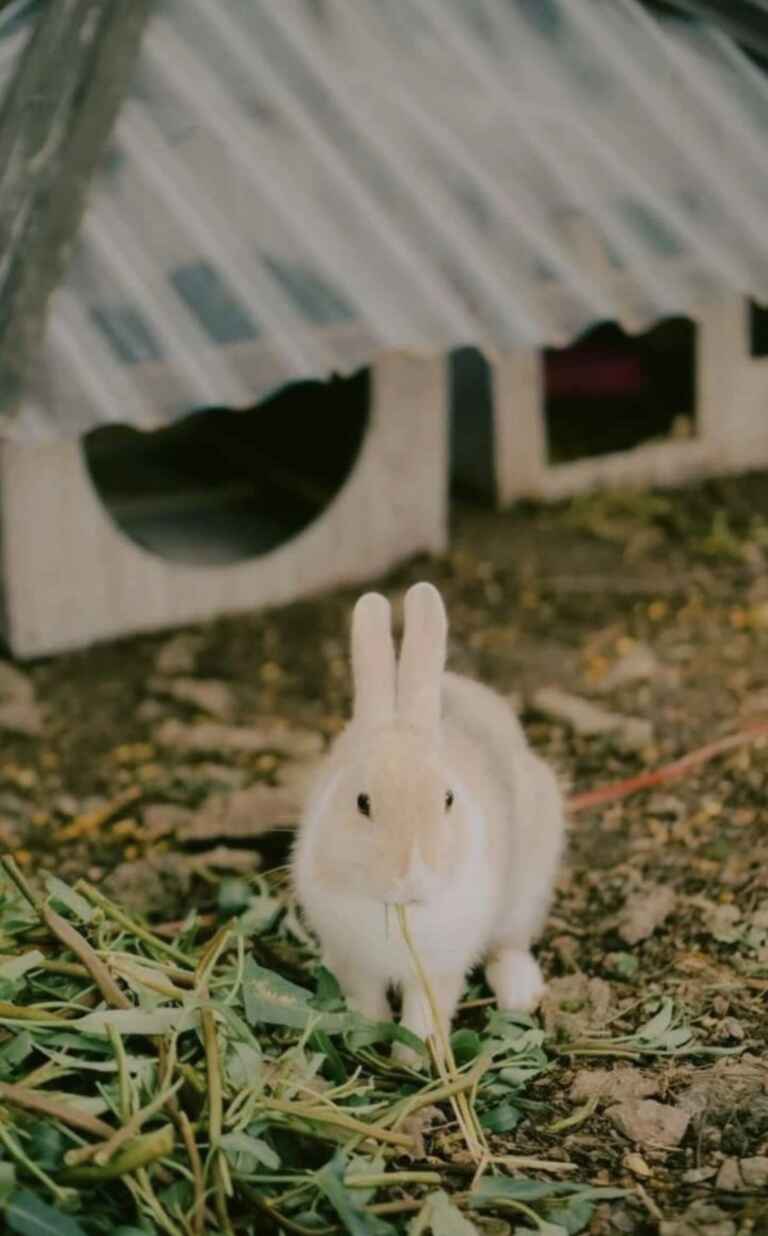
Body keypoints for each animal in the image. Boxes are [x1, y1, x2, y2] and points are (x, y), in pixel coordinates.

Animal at [291, 581, 565, 1063]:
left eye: (448, 799)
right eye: (362, 802)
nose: (411, 879)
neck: (396, 910)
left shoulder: (441, 966)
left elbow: (426, 1010)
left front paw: (413, 1058)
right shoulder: (357, 960)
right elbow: (367, 997)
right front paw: (369, 1033)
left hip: (527, 891)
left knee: (508, 944)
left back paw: (520, 994)